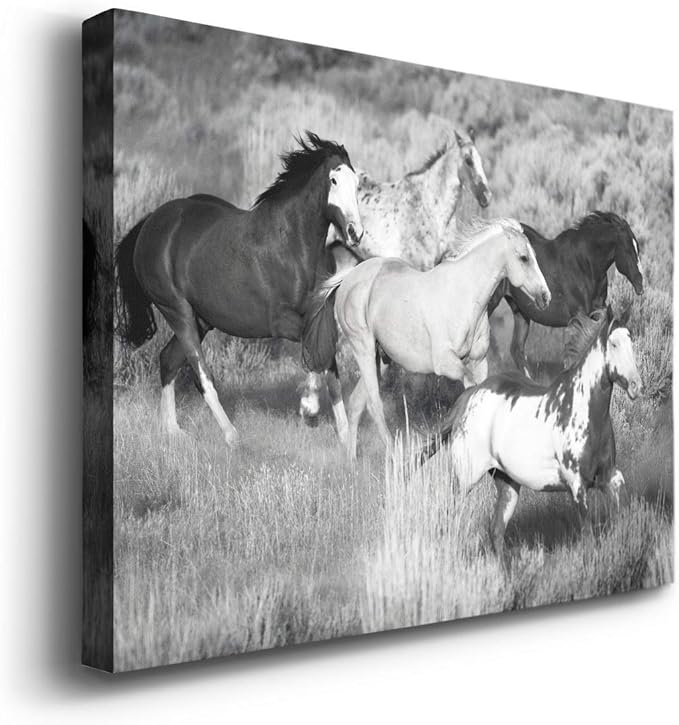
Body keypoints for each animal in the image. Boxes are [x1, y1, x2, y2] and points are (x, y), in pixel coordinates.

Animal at [115, 131, 364, 447]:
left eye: (357, 183)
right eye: (333, 180)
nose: (356, 233)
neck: (291, 245)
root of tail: (150, 223)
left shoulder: (317, 316)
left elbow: (326, 355)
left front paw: (345, 436)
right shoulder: (281, 322)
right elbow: (313, 351)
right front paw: (309, 409)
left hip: (201, 319)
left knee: (167, 360)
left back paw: (173, 431)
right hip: (177, 310)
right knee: (201, 374)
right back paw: (231, 436)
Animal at [299, 126, 492, 424]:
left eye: (482, 160)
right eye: (469, 161)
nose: (485, 197)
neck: (429, 208)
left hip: (344, 262)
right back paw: (309, 404)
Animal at [303, 218, 551, 460]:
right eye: (524, 258)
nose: (545, 297)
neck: (465, 296)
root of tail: (348, 278)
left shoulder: (479, 362)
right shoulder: (447, 363)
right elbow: (470, 391)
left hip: (380, 358)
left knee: (356, 403)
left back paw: (352, 462)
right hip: (362, 348)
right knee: (374, 404)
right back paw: (396, 458)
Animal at [419, 306, 642, 565]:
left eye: (631, 341)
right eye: (614, 344)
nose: (637, 386)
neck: (584, 412)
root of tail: (471, 395)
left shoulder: (609, 477)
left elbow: (624, 512)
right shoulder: (577, 486)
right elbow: (588, 536)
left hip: (507, 484)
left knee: (496, 532)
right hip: (466, 478)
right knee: (451, 517)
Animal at [488, 211, 644, 377]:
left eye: (638, 248)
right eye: (628, 249)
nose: (640, 283)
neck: (585, 265)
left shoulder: (595, 315)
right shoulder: (578, 317)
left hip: (520, 312)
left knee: (516, 350)